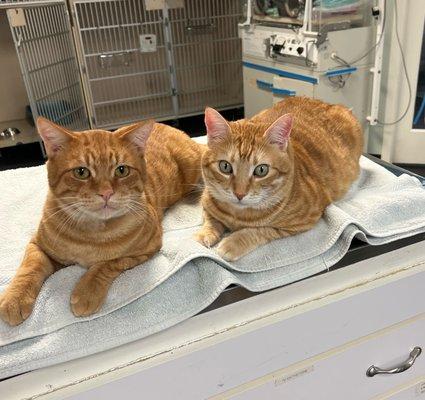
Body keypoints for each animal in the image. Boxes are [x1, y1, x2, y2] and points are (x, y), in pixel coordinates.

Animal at [0, 118, 202, 324]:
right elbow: (29, 268)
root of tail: (168, 126)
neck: (90, 234)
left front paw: (87, 292)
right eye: (81, 172)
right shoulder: (38, 245)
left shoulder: (147, 248)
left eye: (122, 170)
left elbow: (107, 264)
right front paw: (14, 298)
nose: (106, 193)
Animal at [195, 96, 362, 260]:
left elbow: (260, 230)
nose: (239, 194)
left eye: (261, 170)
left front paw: (232, 243)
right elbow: (210, 219)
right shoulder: (206, 201)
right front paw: (206, 234)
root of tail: (330, 103)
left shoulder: (303, 221)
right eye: (225, 166)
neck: (238, 216)